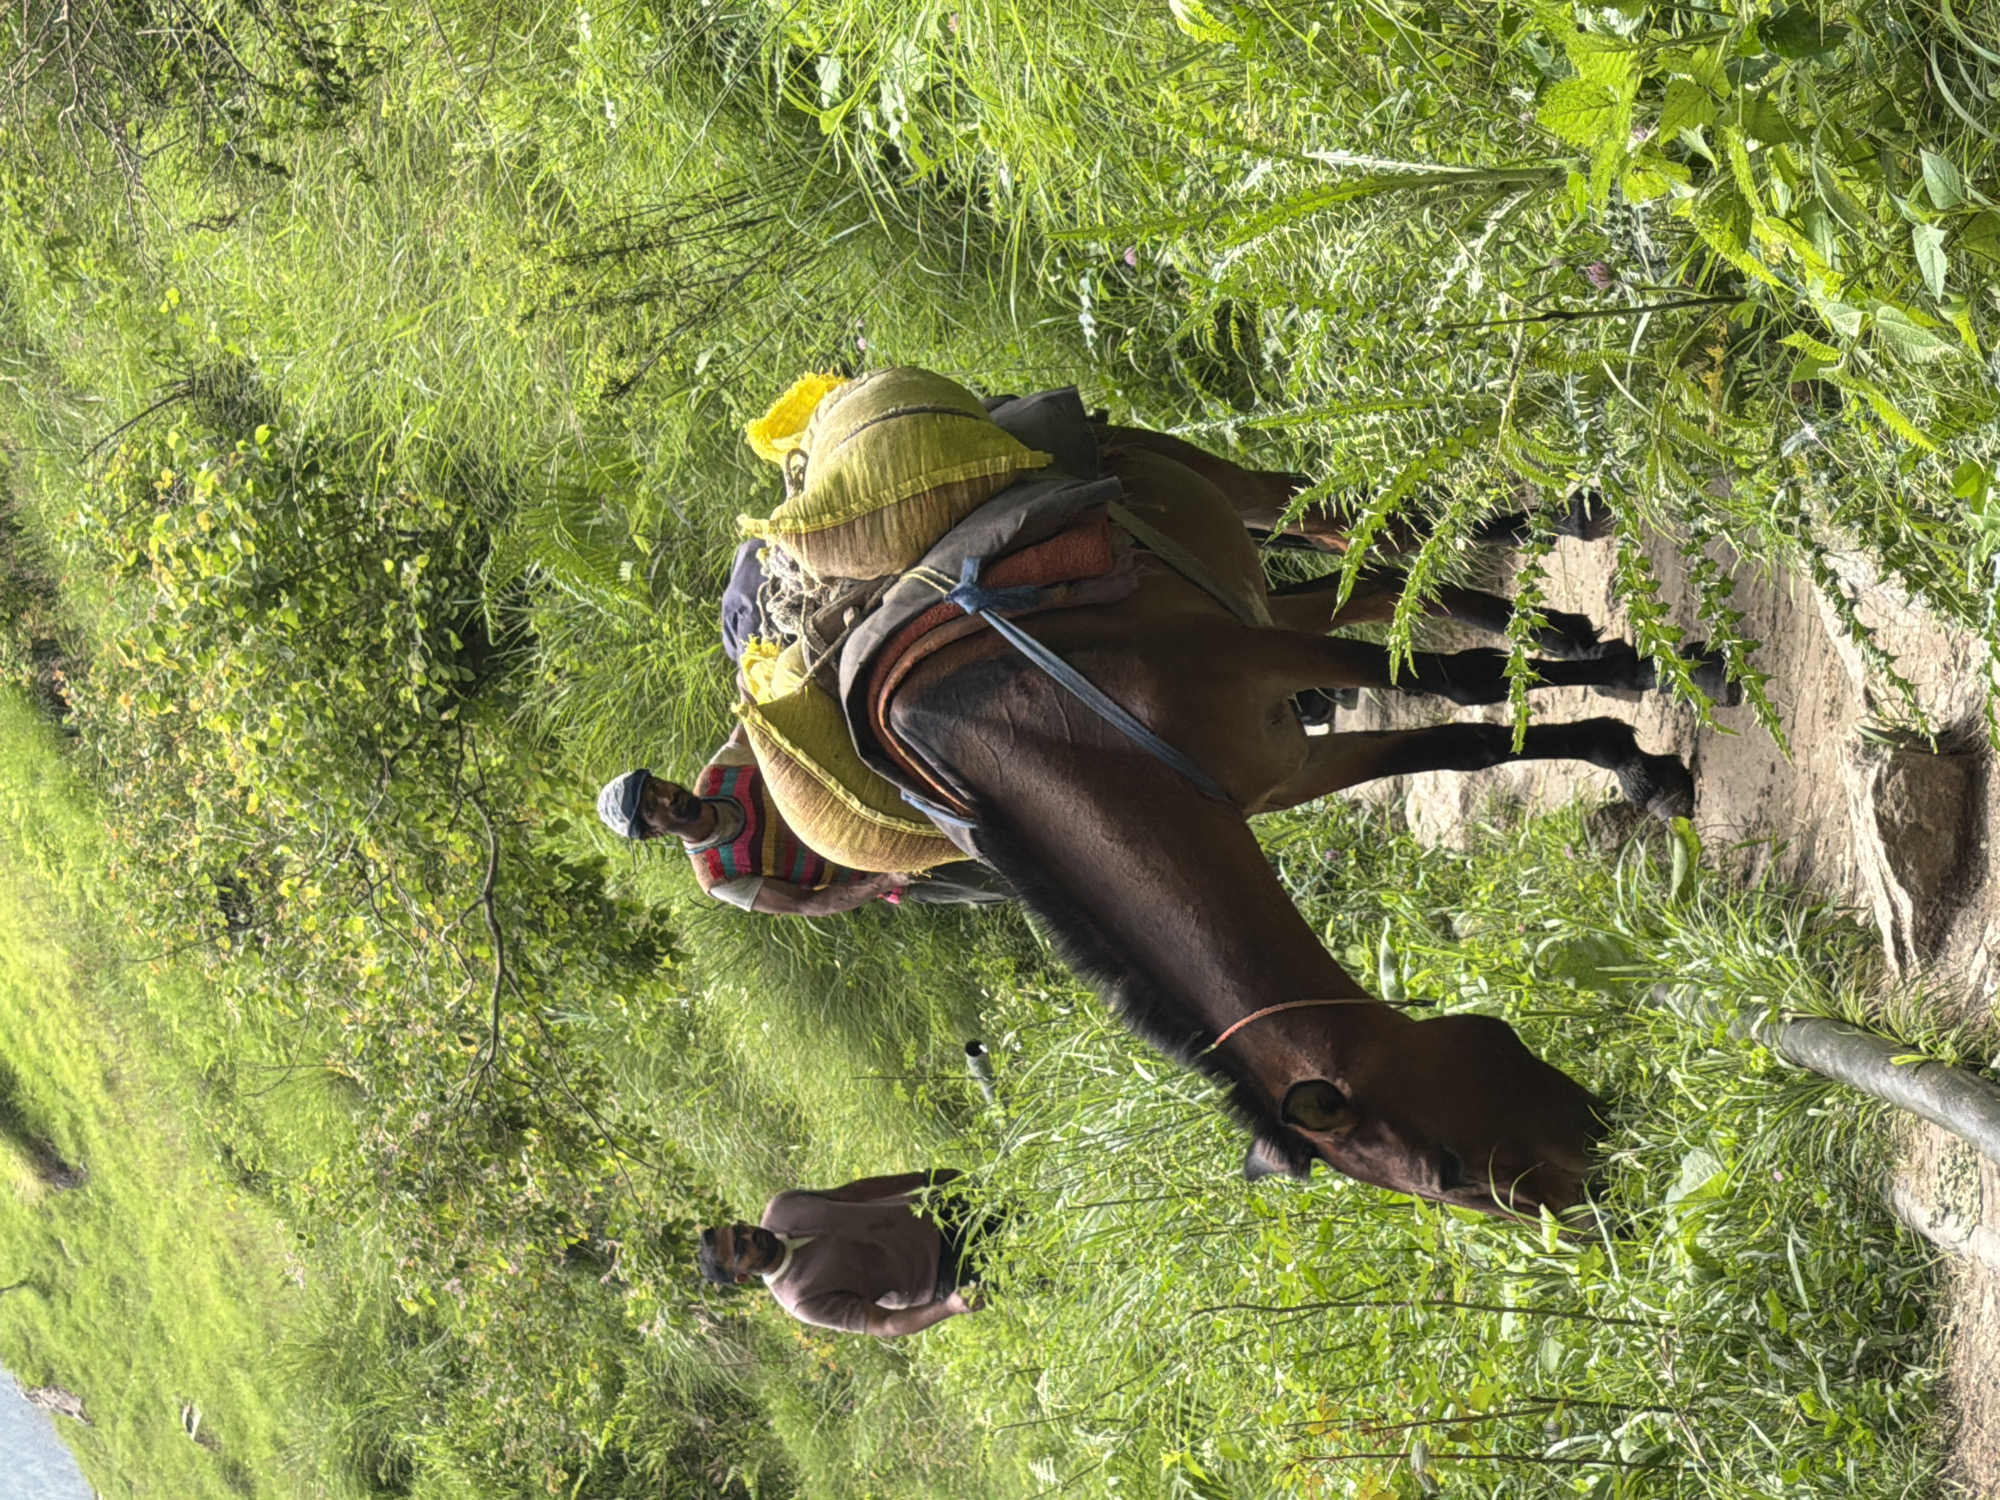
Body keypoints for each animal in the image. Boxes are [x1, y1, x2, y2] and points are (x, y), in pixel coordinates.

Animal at [874, 425, 1723, 1220]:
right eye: (1445, 1180)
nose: (1596, 1213)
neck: (1062, 742)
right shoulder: (1297, 764)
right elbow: (1468, 742)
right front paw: (1630, 745)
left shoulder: (1267, 658)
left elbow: (1461, 682)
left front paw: (1653, 685)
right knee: (1377, 572)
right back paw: (1557, 619)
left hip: (1235, 495)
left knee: (1366, 540)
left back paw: (1567, 547)